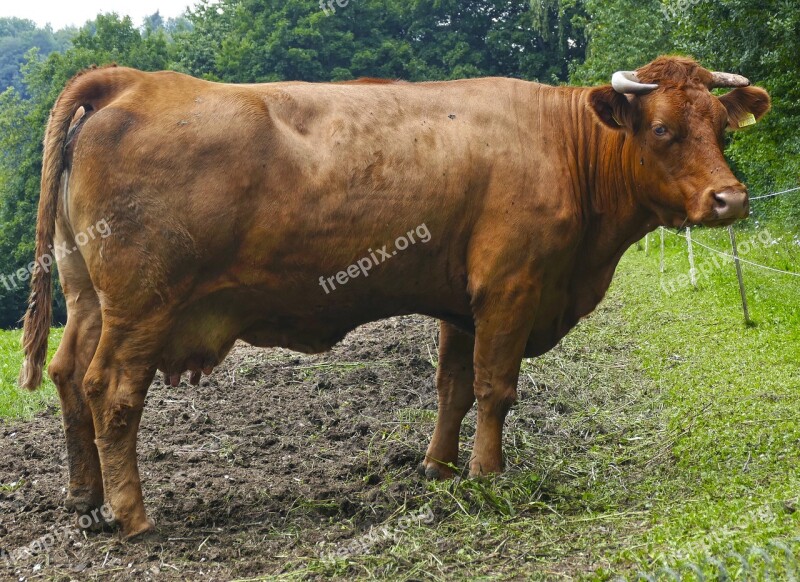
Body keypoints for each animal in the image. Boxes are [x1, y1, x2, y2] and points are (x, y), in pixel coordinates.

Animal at [20, 57, 768, 540]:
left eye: (721, 127)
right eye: (663, 129)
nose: (729, 199)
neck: (564, 145)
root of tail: (134, 80)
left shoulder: (465, 303)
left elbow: (454, 387)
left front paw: (440, 468)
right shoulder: (511, 288)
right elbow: (496, 389)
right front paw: (489, 477)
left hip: (88, 298)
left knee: (66, 376)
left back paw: (87, 499)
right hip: (142, 306)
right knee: (111, 393)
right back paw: (135, 518)